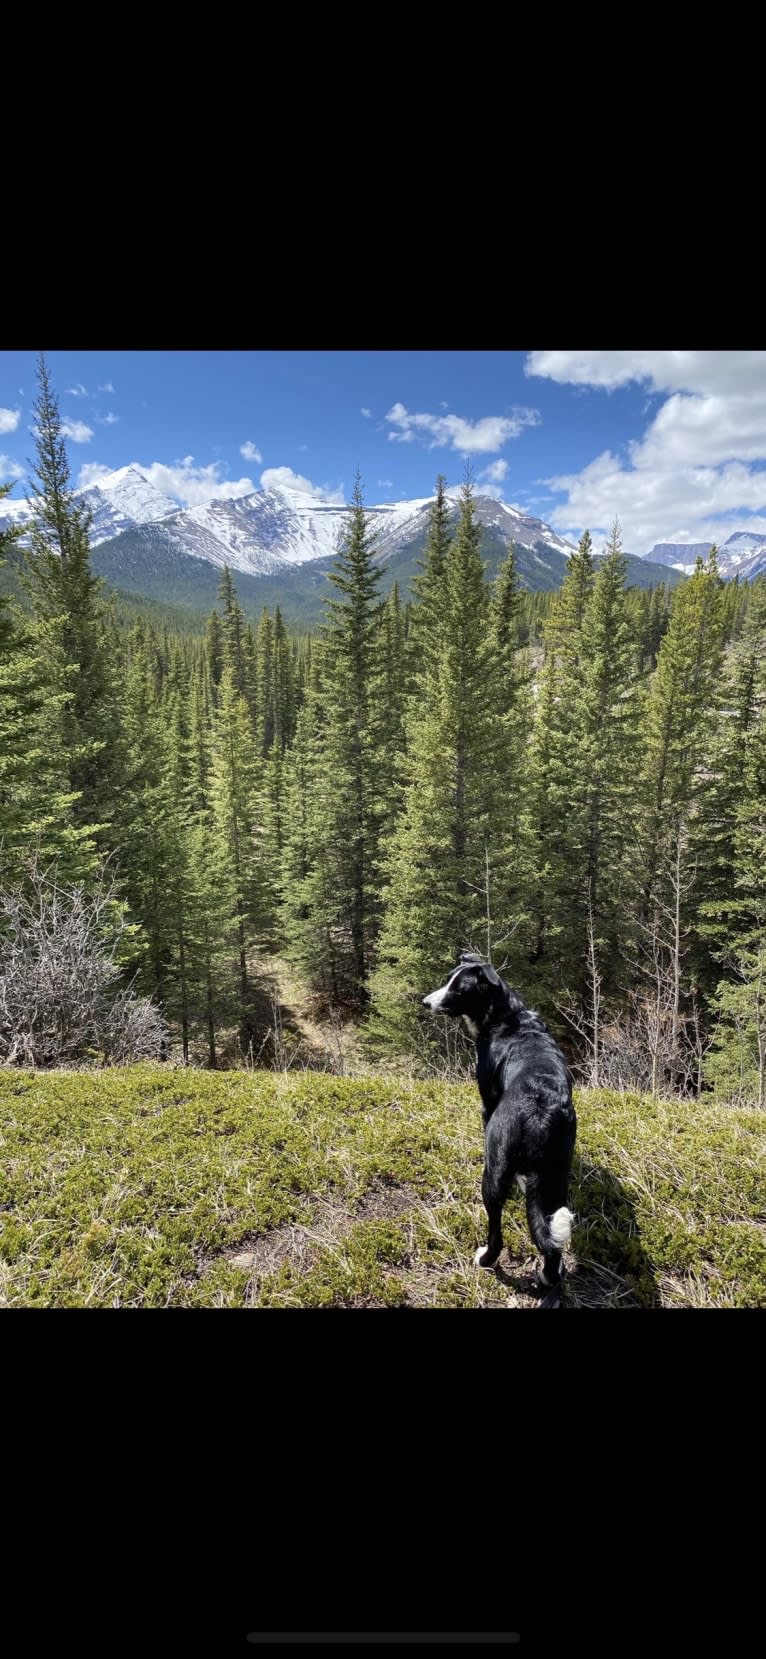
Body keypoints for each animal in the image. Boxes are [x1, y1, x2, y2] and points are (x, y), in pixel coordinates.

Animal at [421, 962, 576, 1307]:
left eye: (458, 989)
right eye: (448, 979)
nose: (425, 1002)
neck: (505, 1016)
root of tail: (540, 1109)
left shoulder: (486, 1103)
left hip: (493, 1173)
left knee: (497, 1233)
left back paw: (484, 1259)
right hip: (554, 1178)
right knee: (550, 1242)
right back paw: (548, 1277)